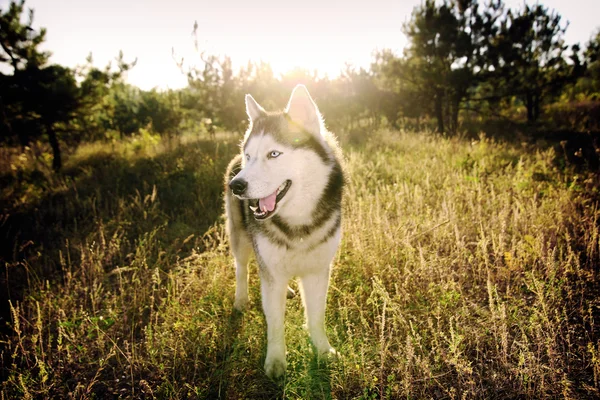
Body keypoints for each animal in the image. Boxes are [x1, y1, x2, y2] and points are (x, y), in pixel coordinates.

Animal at [225, 84, 344, 378]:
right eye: (250, 156)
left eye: (274, 154)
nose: (236, 186)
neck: (298, 224)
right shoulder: (271, 272)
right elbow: (275, 322)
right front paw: (276, 361)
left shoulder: (317, 272)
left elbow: (316, 317)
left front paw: (323, 351)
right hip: (240, 239)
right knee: (242, 267)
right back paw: (241, 299)